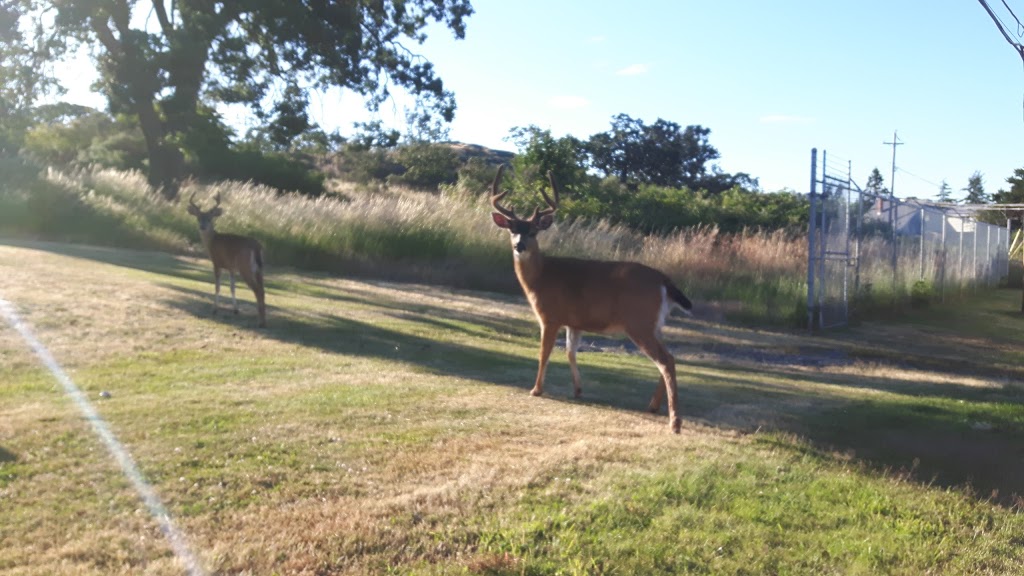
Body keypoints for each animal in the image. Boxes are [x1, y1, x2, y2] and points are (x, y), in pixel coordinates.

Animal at [187, 192, 268, 327]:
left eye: (209, 219)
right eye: (198, 218)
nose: (202, 227)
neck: (212, 241)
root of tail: (257, 246)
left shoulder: (216, 262)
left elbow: (217, 287)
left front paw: (215, 309)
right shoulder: (231, 268)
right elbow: (232, 288)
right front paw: (235, 310)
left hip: (245, 267)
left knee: (257, 290)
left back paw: (260, 322)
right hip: (259, 269)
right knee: (262, 289)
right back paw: (263, 320)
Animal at [489, 165, 696, 430]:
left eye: (534, 232)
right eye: (513, 230)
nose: (519, 246)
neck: (541, 276)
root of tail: (664, 280)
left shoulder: (550, 316)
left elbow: (544, 353)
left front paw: (536, 390)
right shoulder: (574, 322)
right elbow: (570, 352)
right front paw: (578, 390)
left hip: (639, 322)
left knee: (665, 360)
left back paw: (675, 421)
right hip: (654, 324)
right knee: (670, 357)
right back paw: (653, 406)